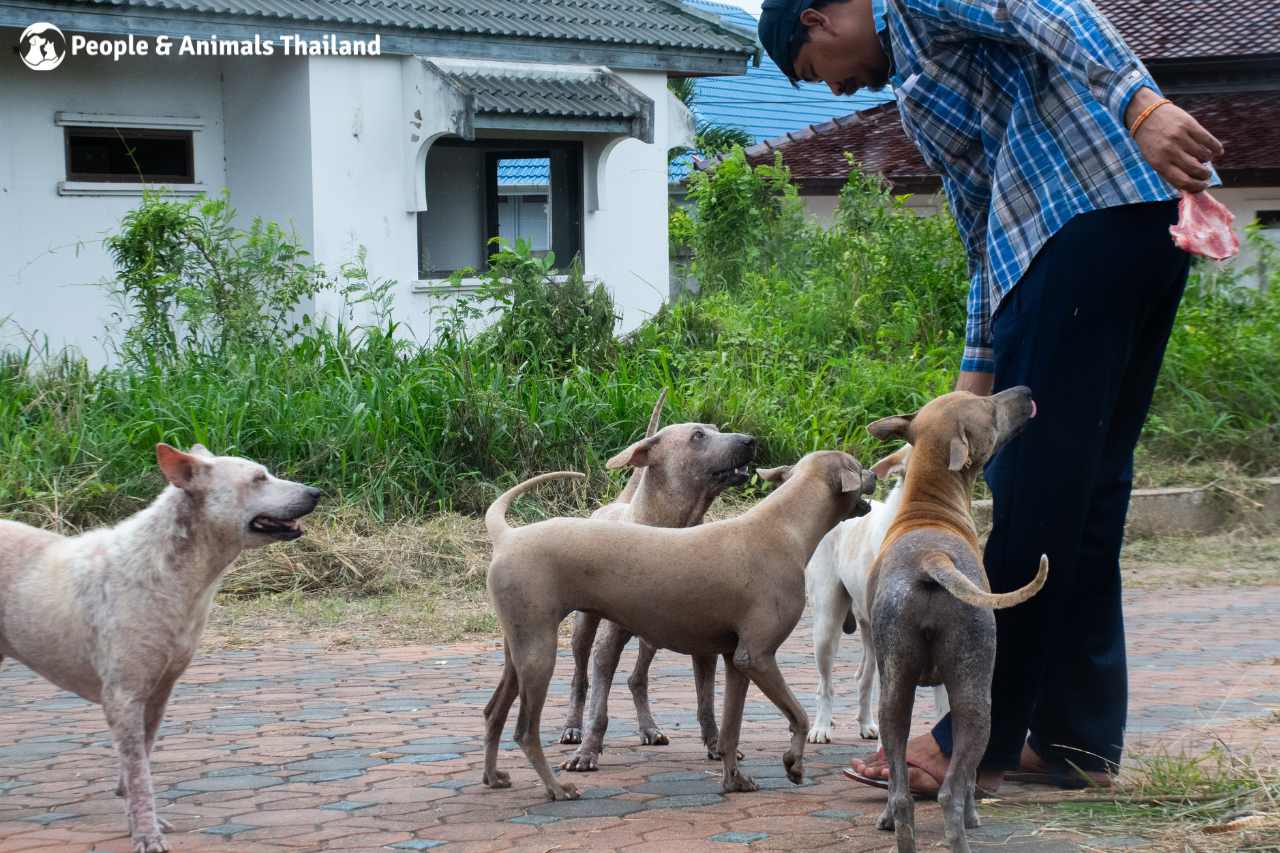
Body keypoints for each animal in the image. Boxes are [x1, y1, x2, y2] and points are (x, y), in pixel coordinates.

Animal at [0, 445, 318, 850]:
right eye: (258, 479)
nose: (316, 492)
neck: (171, 570)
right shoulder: (123, 696)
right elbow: (139, 773)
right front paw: (146, 833)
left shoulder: (158, 693)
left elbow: (140, 762)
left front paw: (137, 819)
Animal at [803, 445, 947, 737]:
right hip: (826, 626)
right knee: (826, 684)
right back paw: (821, 727)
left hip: (868, 633)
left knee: (863, 678)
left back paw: (866, 724)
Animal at [865, 384, 1044, 850]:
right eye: (989, 408)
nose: (1024, 390)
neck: (928, 508)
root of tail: (932, 560)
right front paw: (975, 816)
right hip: (976, 692)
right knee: (953, 788)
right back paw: (962, 828)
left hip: (895, 687)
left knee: (901, 792)